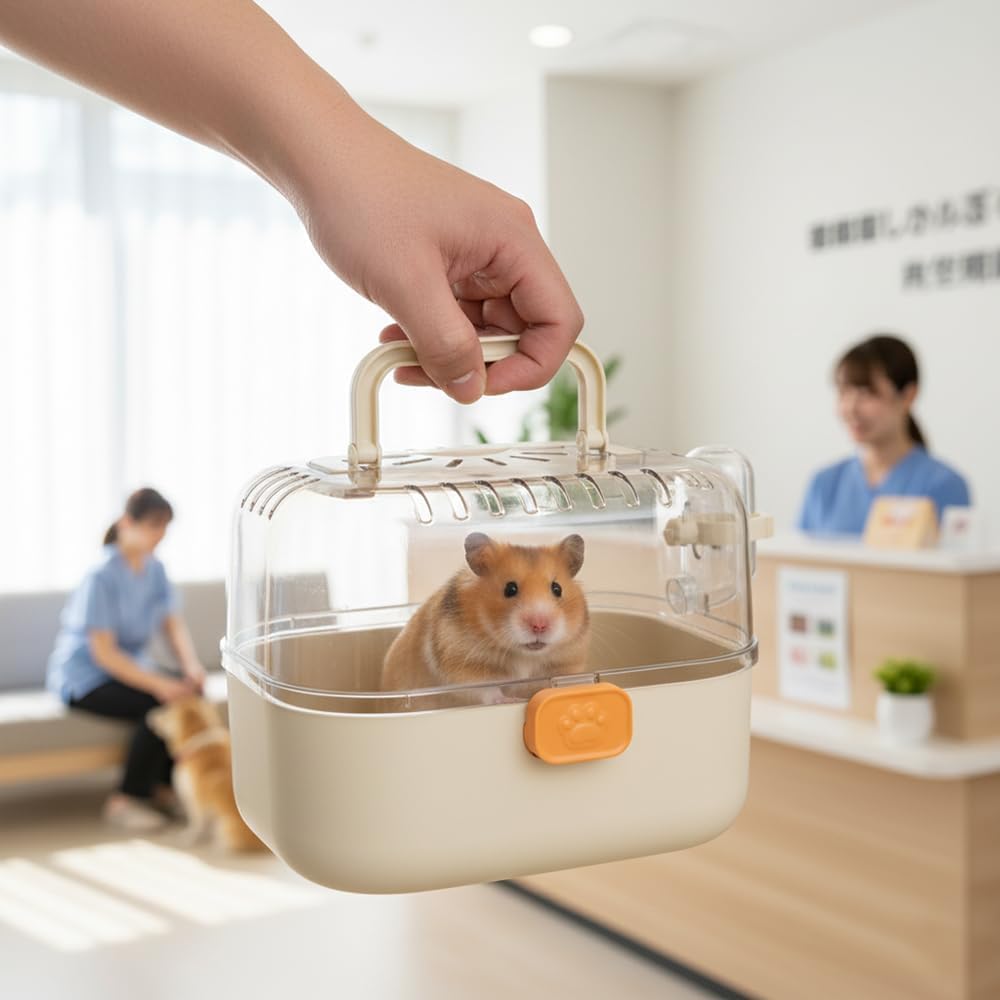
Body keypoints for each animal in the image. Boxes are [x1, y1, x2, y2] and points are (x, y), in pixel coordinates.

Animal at [381, 532, 590, 702]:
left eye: (557, 589)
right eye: (510, 589)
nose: (539, 626)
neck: (523, 655)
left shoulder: (568, 663)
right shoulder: (461, 666)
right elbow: (487, 690)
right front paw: (510, 700)